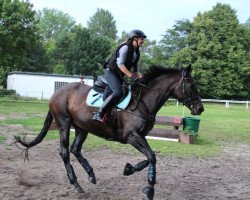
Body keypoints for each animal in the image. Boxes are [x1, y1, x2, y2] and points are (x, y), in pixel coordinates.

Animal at [14, 65, 203, 199]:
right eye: (192, 85)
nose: (200, 108)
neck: (142, 101)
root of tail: (57, 93)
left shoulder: (139, 136)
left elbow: (149, 158)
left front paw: (129, 169)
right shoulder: (132, 136)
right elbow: (151, 156)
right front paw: (150, 188)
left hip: (82, 127)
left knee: (75, 149)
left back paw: (91, 174)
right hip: (64, 124)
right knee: (65, 152)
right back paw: (76, 184)